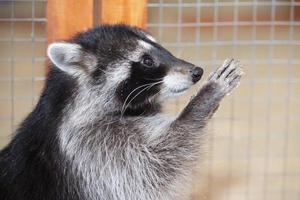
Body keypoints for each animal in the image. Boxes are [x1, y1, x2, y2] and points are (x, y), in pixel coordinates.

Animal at [0, 24, 244, 200]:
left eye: (162, 48)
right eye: (147, 61)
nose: (197, 72)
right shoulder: (89, 149)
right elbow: (158, 163)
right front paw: (202, 103)